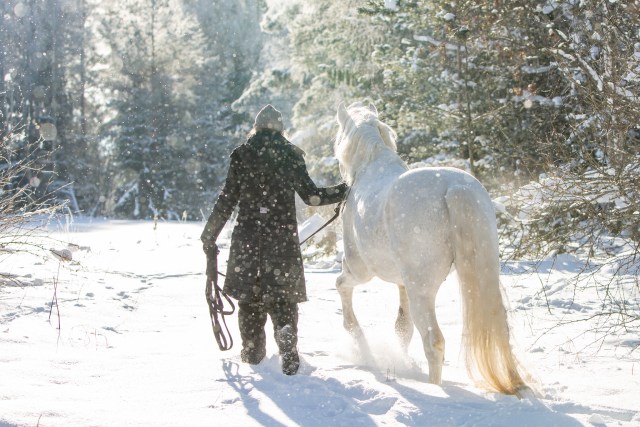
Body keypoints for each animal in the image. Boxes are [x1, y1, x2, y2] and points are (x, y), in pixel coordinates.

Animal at [336, 102, 524, 396]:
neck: (370, 168)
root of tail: (455, 187)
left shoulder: (360, 270)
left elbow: (341, 285)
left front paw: (355, 335)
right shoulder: (402, 284)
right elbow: (402, 327)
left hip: (419, 289)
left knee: (433, 340)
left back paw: (434, 388)